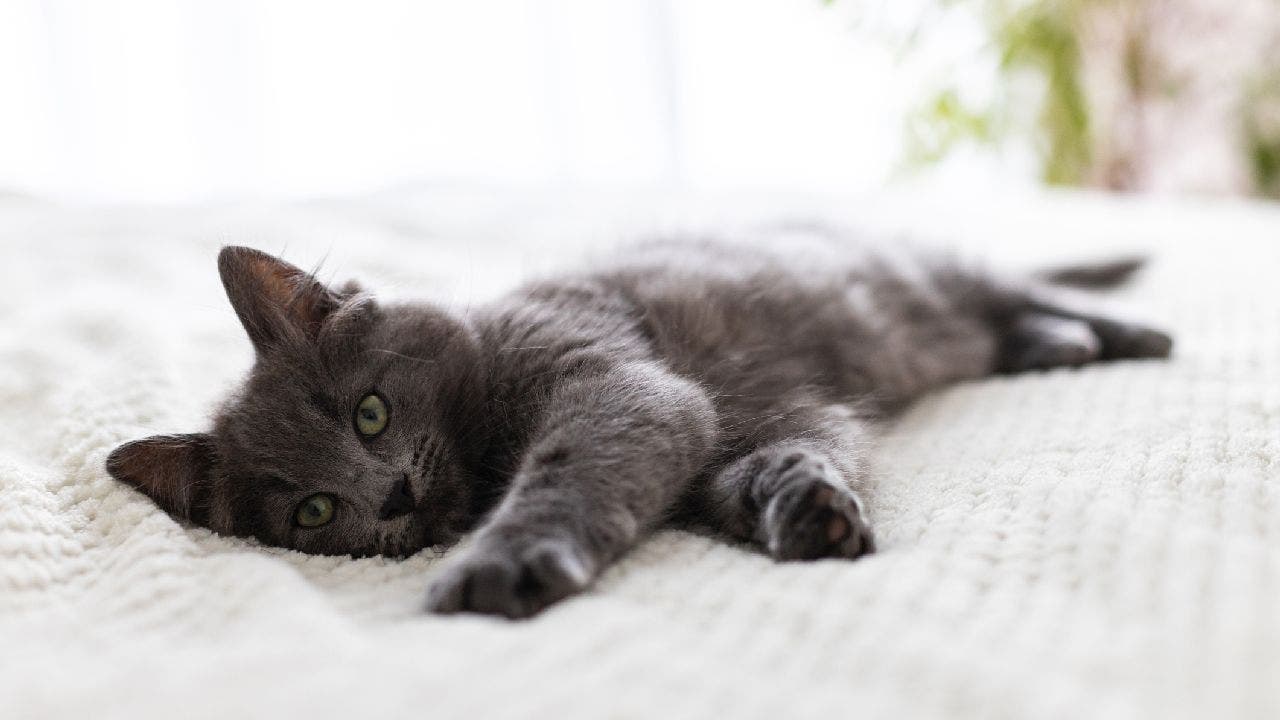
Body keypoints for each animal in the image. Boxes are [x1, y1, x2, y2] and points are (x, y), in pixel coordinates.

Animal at [107, 229, 1172, 617]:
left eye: (369, 412)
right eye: (315, 515)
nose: (394, 494)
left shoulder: (619, 385)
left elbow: (567, 470)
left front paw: (499, 565)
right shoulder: (723, 433)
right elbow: (767, 464)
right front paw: (809, 511)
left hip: (917, 276)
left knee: (1018, 281)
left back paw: (1123, 330)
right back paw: (1057, 346)